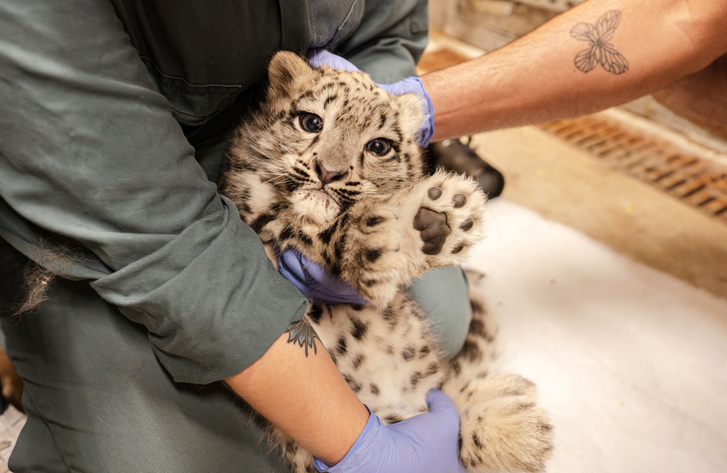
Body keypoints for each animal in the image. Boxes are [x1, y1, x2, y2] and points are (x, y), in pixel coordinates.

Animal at [219, 50, 554, 473]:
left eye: (379, 146)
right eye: (311, 121)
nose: (329, 171)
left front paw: (438, 219)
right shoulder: (255, 219)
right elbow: (317, 232)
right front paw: (399, 231)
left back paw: (512, 424)